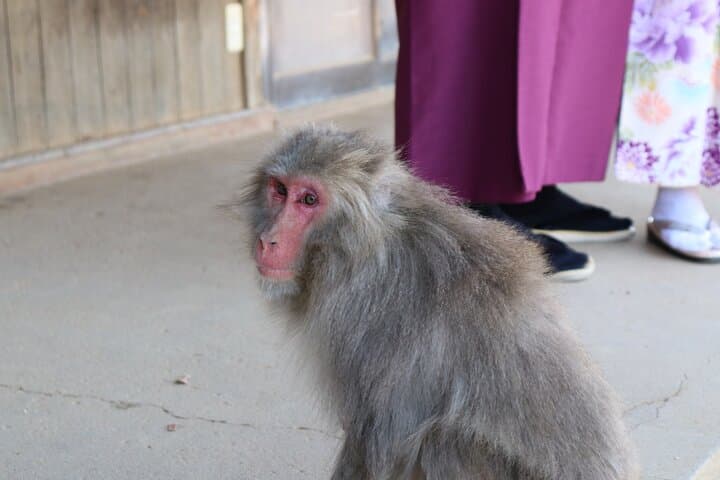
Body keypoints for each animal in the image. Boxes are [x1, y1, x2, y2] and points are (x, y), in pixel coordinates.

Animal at [241, 125, 637, 480]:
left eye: (309, 199)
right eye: (280, 190)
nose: (268, 240)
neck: (362, 246)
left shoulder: (363, 318)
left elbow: (376, 440)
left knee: (442, 444)